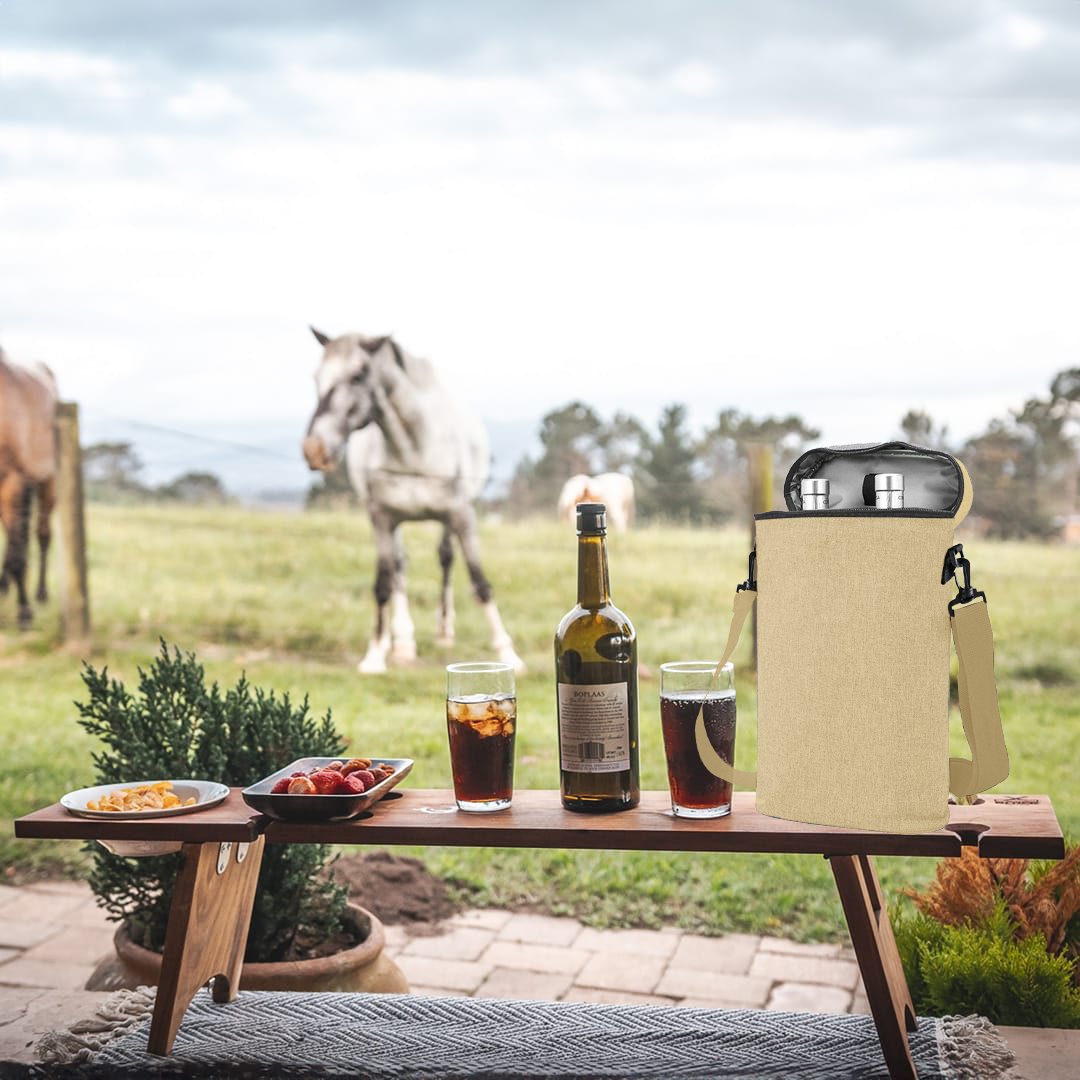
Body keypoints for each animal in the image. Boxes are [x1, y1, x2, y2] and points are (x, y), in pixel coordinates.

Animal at [302, 324, 524, 669]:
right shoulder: (380, 517)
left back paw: (444, 630)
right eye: (317, 377)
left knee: (446, 558)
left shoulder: (461, 513)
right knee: (399, 566)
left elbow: (479, 582)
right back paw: (401, 640)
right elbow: (383, 583)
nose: (314, 450)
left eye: (358, 375)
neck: (412, 449)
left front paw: (507, 651)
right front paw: (375, 654)